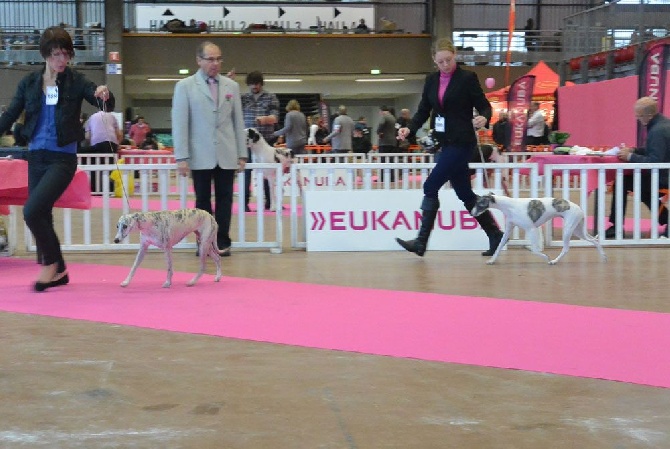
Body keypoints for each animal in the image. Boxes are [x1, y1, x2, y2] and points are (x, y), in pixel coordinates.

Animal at [472, 192, 608, 262]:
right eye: (476, 202)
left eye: (480, 204)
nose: (472, 213)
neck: (510, 206)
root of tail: (579, 209)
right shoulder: (509, 229)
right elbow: (500, 245)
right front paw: (492, 260)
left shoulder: (531, 229)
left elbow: (535, 250)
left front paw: (545, 257)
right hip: (578, 230)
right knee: (595, 241)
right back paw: (603, 257)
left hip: (568, 230)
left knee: (566, 249)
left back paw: (554, 261)